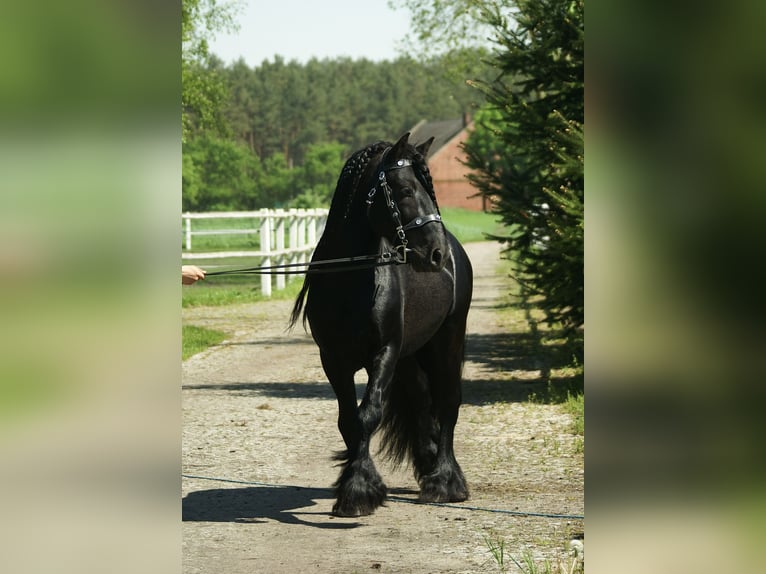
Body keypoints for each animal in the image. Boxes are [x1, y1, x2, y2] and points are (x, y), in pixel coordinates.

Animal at [292, 134, 474, 516]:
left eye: (429, 188)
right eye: (404, 189)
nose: (436, 252)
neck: (350, 280)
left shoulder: (385, 352)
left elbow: (368, 414)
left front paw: (360, 489)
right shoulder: (333, 359)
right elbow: (348, 420)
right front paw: (358, 487)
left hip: (447, 339)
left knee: (448, 401)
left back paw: (445, 482)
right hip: (410, 356)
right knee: (421, 400)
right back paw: (428, 464)